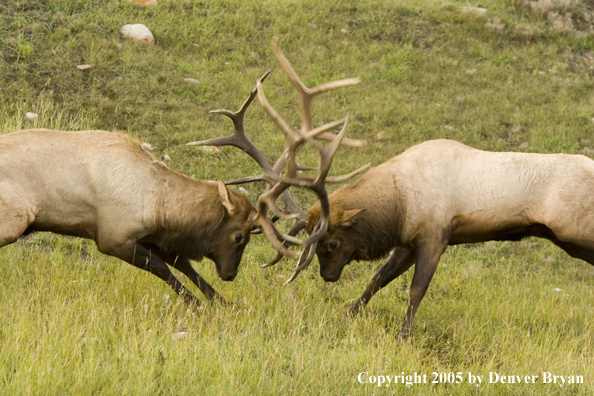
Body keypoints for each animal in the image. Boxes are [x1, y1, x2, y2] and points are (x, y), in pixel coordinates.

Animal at [302, 138, 594, 338]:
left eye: (332, 243)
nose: (327, 275)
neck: (398, 208)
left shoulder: (434, 238)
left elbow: (416, 290)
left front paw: (404, 335)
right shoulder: (408, 243)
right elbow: (378, 279)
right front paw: (349, 314)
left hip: (574, 232)